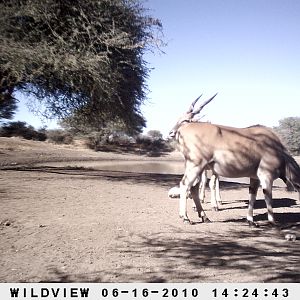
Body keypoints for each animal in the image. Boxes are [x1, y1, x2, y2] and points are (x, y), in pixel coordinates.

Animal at [169, 94, 300, 225]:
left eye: (185, 119)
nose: (171, 133)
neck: (277, 149)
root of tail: (182, 131)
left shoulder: (254, 178)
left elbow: (252, 196)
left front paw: (250, 220)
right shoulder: (265, 176)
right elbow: (268, 198)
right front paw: (272, 221)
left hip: (199, 168)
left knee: (194, 188)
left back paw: (204, 216)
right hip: (195, 166)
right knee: (185, 185)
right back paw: (185, 217)